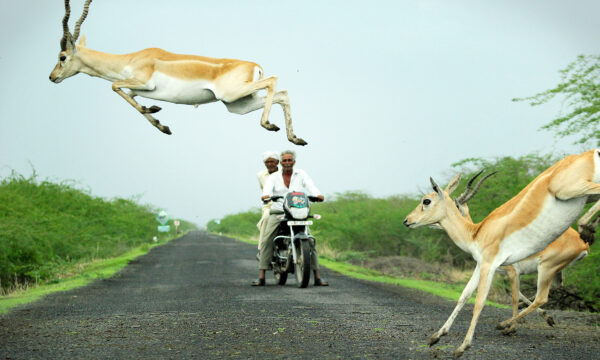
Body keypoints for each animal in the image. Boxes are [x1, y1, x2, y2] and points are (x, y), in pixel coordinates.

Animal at [48, 0, 308, 146]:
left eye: (62, 57)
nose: (52, 77)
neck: (131, 58)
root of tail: (254, 65)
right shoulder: (137, 88)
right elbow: (131, 98)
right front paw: (160, 121)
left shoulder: (143, 83)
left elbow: (114, 86)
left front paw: (154, 111)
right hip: (238, 104)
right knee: (282, 94)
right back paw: (295, 139)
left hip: (233, 95)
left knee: (274, 81)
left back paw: (269, 125)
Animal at [404, 149, 600, 358]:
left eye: (426, 200)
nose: (407, 220)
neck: (476, 233)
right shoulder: (481, 266)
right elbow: (464, 296)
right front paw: (436, 337)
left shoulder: (496, 266)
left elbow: (481, 302)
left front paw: (463, 346)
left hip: (548, 261)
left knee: (541, 297)